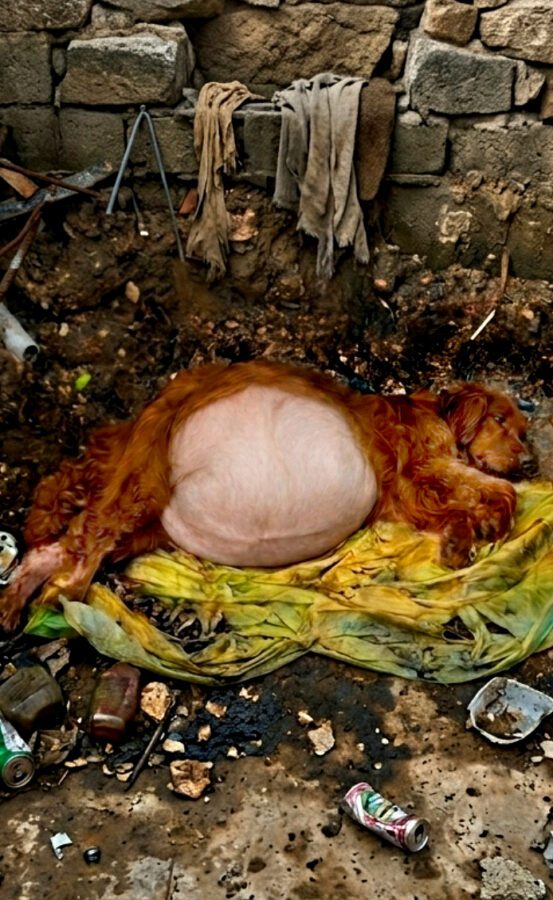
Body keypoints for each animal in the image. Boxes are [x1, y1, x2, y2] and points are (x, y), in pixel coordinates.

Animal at [0, 360, 530, 632]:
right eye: (500, 420)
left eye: (523, 430)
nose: (528, 461)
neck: (435, 414)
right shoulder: (423, 465)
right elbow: (498, 490)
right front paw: (482, 525)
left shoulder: (413, 489)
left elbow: (469, 499)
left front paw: (463, 534)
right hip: (144, 479)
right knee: (90, 535)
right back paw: (62, 593)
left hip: (147, 524)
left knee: (61, 545)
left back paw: (16, 600)